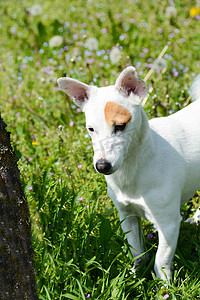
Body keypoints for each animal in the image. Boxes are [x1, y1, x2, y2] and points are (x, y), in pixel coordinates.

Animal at [57, 67, 200, 282]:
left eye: (120, 126)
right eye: (91, 129)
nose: (102, 166)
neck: (136, 166)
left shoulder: (168, 224)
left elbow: (161, 260)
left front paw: (164, 285)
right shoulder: (127, 216)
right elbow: (137, 253)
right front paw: (135, 277)